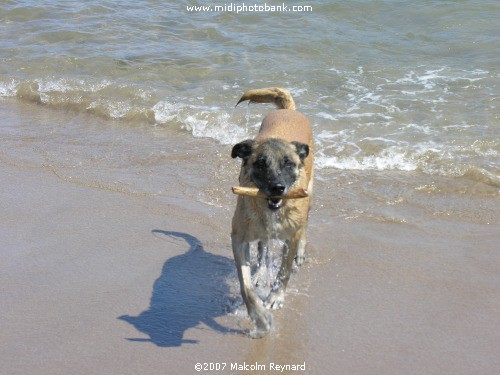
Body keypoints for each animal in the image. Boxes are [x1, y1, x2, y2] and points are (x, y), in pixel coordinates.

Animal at [230, 87, 312, 338]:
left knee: (305, 224)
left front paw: (275, 297)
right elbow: (245, 285)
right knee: (263, 247)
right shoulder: (239, 238)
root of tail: (288, 110)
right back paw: (260, 271)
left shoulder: (290, 236)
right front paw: (260, 318)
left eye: (288, 163)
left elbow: (284, 271)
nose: (277, 188)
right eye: (261, 163)